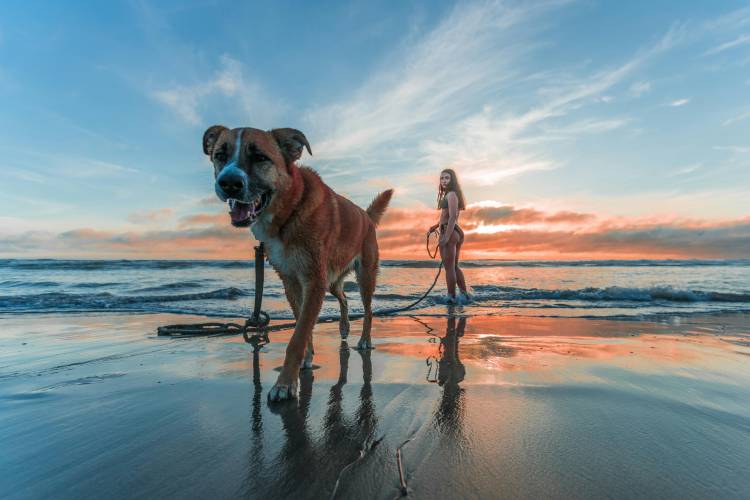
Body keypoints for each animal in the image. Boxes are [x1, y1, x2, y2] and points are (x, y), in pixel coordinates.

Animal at [203, 126, 396, 402]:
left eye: (260, 157)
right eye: (220, 155)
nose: (229, 183)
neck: (290, 211)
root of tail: (366, 217)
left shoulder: (313, 281)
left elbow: (298, 335)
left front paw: (285, 383)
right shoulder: (292, 282)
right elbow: (302, 326)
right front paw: (306, 360)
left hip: (364, 275)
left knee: (368, 310)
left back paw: (365, 339)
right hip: (332, 280)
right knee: (344, 298)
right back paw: (344, 327)